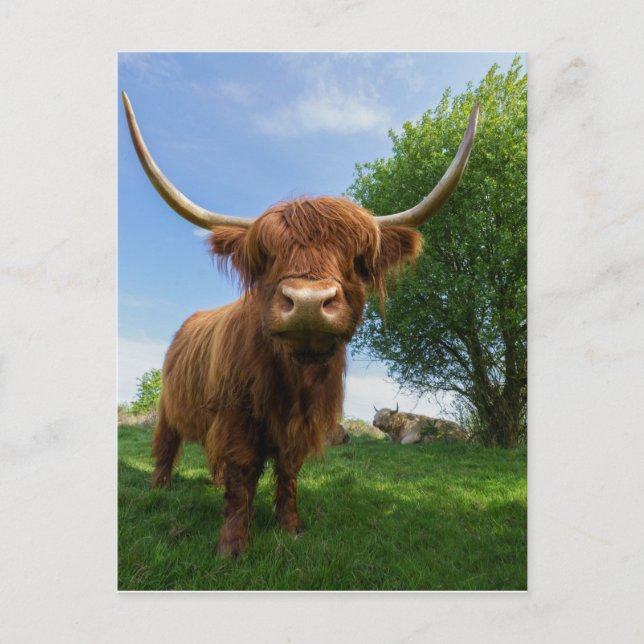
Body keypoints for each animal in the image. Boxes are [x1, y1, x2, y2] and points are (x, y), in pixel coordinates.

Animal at [122, 92, 478, 557]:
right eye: (267, 255)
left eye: (357, 260)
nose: (308, 302)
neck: (293, 379)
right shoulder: (236, 415)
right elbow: (241, 470)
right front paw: (232, 545)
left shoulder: (303, 422)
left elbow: (288, 470)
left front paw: (290, 526)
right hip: (168, 405)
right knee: (166, 445)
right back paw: (159, 488)